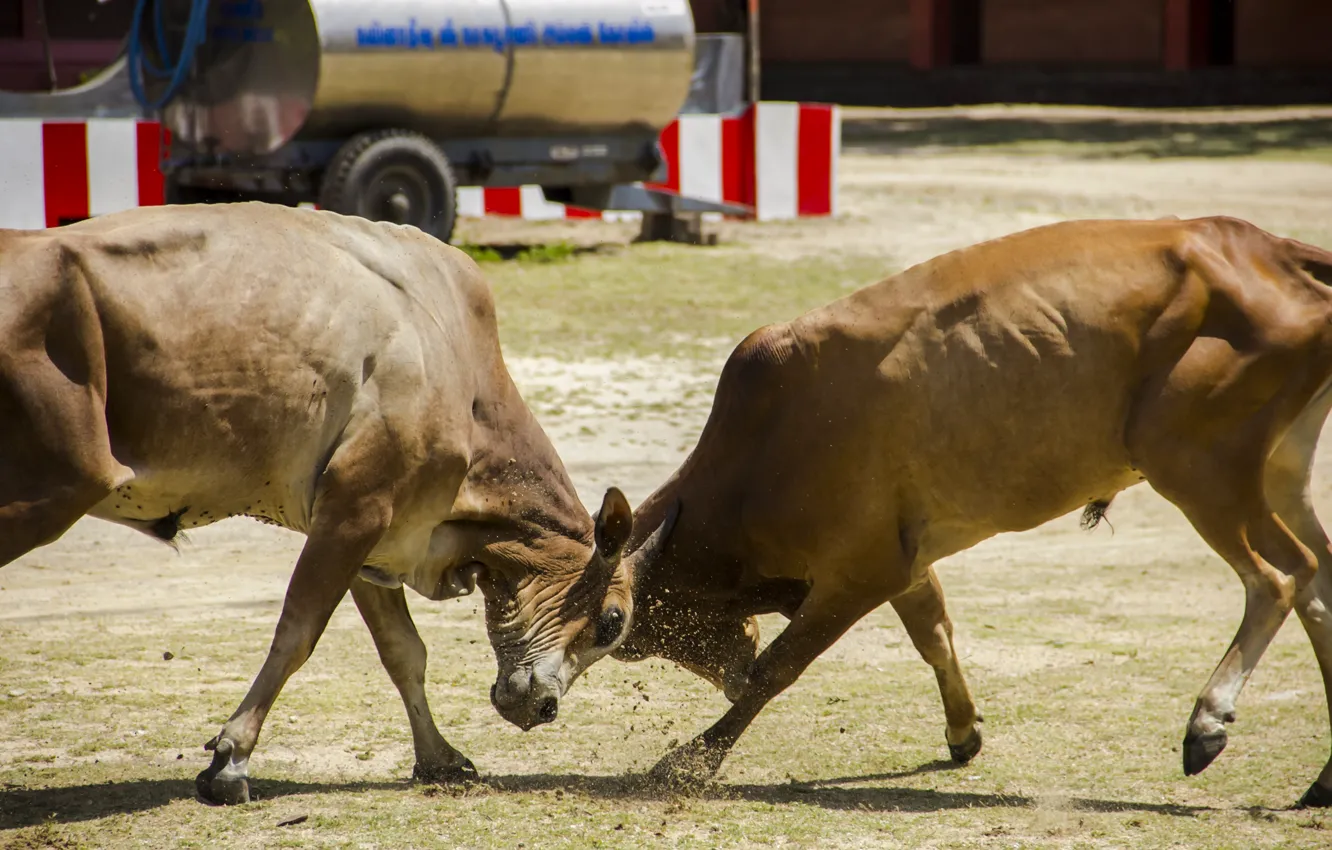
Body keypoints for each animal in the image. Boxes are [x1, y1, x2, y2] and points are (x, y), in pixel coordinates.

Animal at [0, 202, 671, 810]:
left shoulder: (378, 534)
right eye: (612, 621)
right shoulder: (356, 509)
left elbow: (404, 652)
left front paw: (438, 757)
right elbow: (297, 634)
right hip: (49, 493)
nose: (545, 707)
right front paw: (231, 760)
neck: (457, 363)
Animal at [618, 215, 1332, 810]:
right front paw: (963, 730)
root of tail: (1268, 248)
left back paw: (1207, 722)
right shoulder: (901, 559)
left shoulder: (861, 571)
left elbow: (781, 666)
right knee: (1318, 583)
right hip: (1275, 475)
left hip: (1196, 468)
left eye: (638, 627)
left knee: (1279, 578)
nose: (728, 674)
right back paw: (1321, 780)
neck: (761, 440)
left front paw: (692, 758)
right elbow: (934, 633)